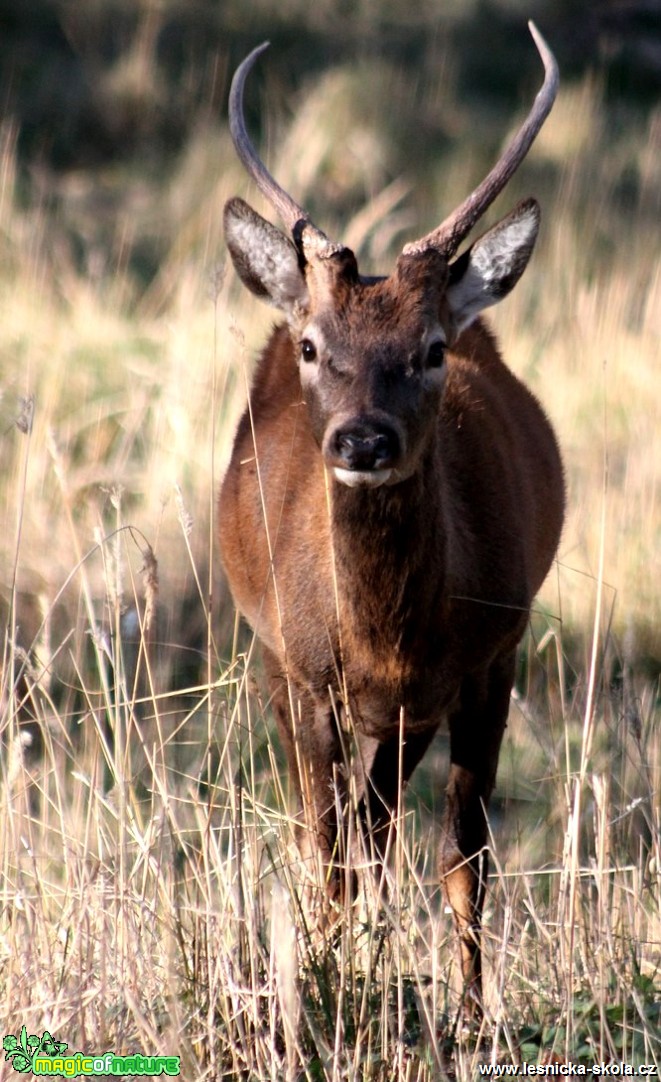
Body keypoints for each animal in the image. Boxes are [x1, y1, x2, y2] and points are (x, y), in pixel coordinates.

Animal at [219, 21, 566, 1012]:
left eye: (433, 349)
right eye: (311, 346)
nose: (362, 439)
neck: (388, 644)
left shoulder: (488, 658)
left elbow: (464, 856)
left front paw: (472, 1013)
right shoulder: (307, 674)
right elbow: (329, 850)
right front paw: (331, 979)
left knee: (381, 829)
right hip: (271, 660)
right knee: (340, 834)